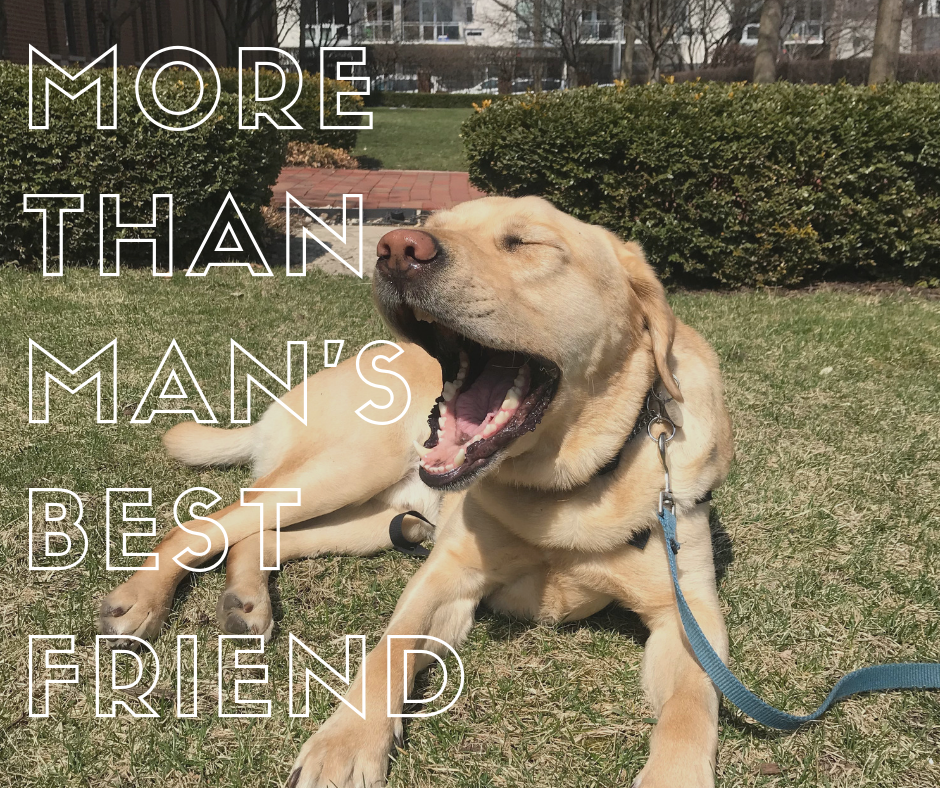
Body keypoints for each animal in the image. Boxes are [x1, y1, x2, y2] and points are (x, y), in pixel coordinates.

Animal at [99, 197, 740, 788]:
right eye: (432, 225)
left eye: (526, 243)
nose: (397, 249)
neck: (570, 487)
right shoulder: (446, 574)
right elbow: (387, 651)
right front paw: (345, 746)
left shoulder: (690, 612)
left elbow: (691, 709)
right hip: (343, 470)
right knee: (206, 523)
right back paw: (138, 601)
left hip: (374, 519)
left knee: (261, 538)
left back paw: (246, 602)